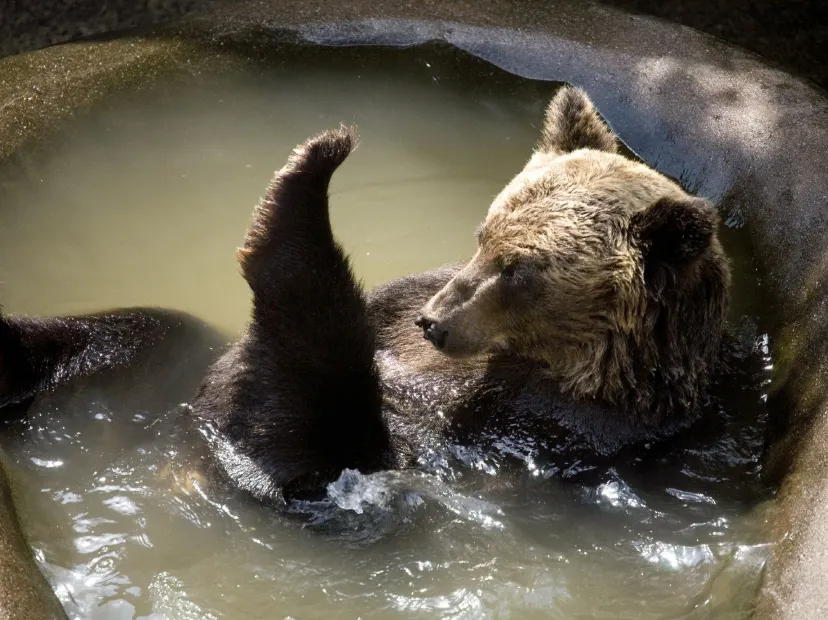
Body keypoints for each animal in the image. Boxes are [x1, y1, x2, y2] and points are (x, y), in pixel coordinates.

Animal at [190, 85, 731, 503]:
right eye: (482, 236)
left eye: (519, 271)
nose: (434, 323)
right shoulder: (406, 304)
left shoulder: (541, 422)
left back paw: (308, 180)